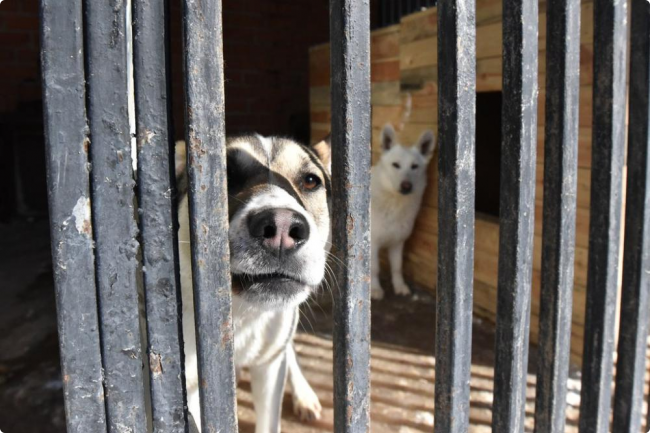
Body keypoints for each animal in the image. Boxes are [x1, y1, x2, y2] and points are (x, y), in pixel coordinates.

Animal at [370, 123, 436, 300]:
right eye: (396, 165)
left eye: (414, 167)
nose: (406, 186)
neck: (394, 203)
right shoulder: (373, 244)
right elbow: (375, 268)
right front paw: (375, 289)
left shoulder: (398, 242)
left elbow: (397, 267)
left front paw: (400, 287)